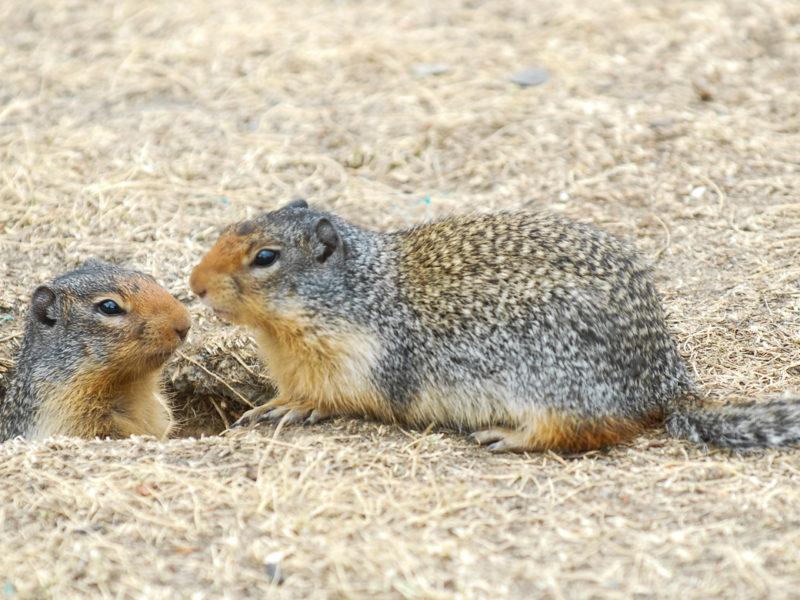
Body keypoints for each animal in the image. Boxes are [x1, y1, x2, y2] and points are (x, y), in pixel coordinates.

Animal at [188, 199, 800, 452]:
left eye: (265, 258)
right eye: (225, 228)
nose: (194, 284)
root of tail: (665, 380)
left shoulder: (357, 357)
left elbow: (337, 395)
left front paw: (290, 408)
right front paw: (274, 401)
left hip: (554, 383)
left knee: (583, 432)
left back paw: (507, 437)